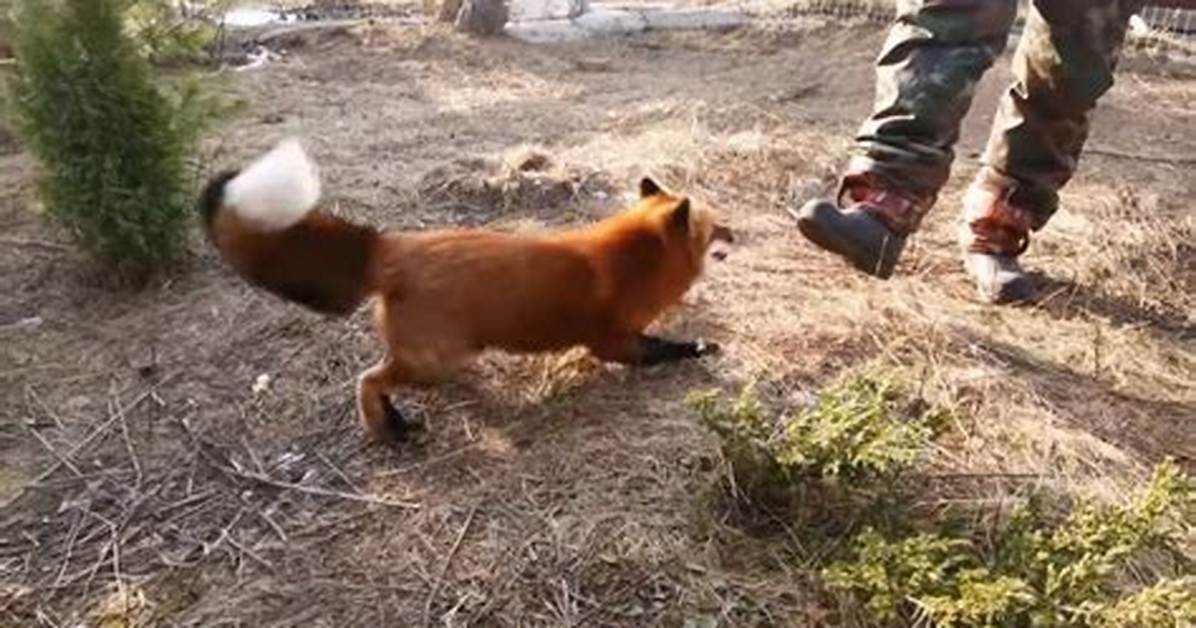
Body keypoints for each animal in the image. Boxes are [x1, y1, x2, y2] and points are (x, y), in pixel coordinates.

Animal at [199, 138, 733, 444]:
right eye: (714, 227)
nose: (737, 232)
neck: (632, 259)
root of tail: (391, 244)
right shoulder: (612, 341)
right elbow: (663, 348)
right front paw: (701, 348)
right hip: (432, 360)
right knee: (368, 380)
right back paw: (390, 429)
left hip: (445, 354)